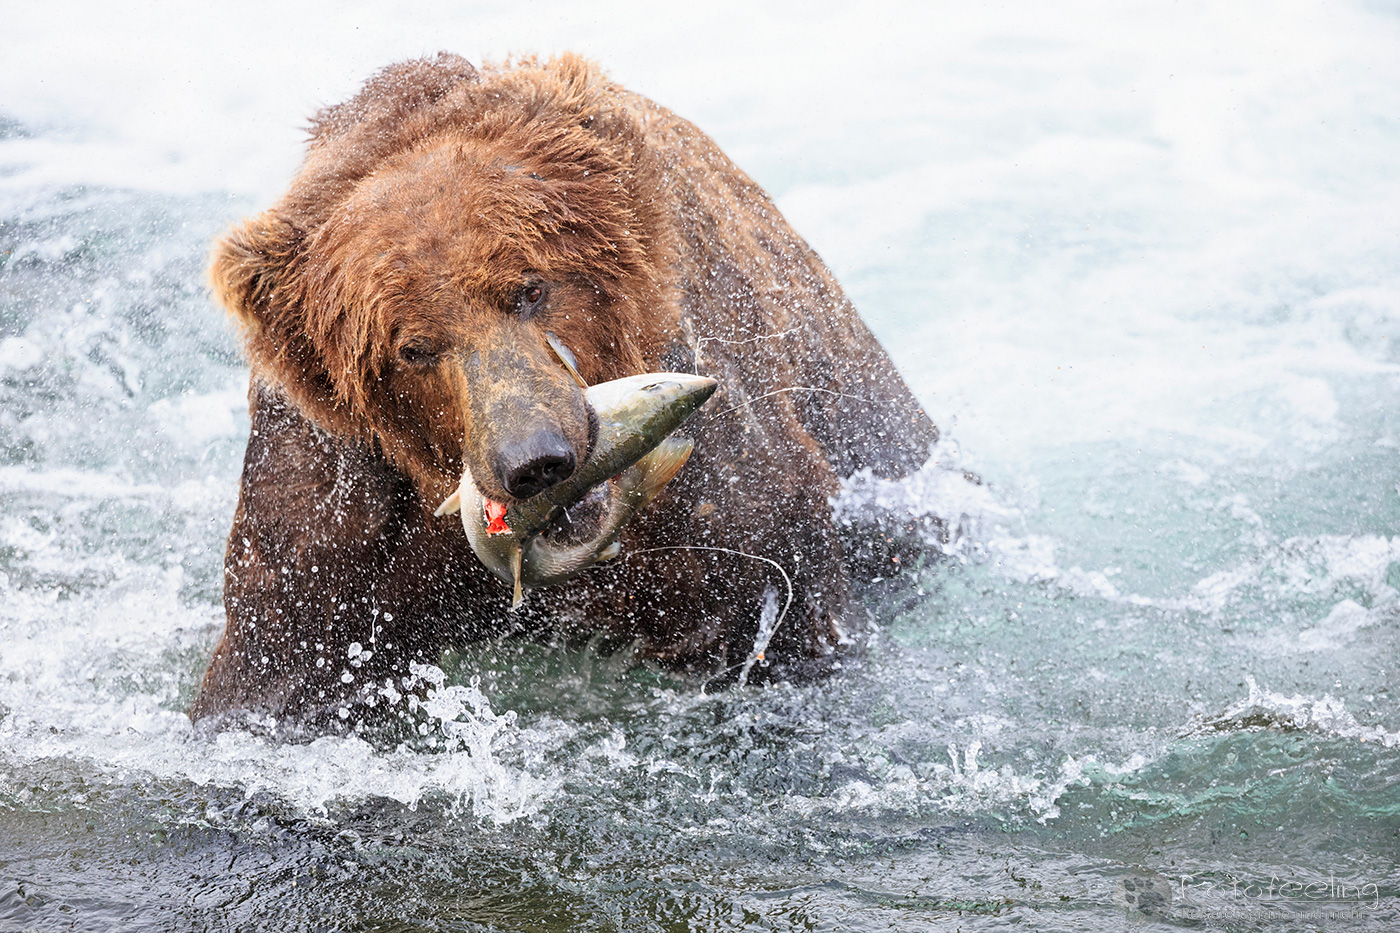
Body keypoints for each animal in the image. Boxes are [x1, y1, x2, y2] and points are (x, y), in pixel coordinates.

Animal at [191, 52, 938, 731]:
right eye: (413, 348)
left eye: (530, 287)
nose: (536, 460)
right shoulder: (337, 493)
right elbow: (278, 658)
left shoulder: (717, 469)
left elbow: (768, 596)